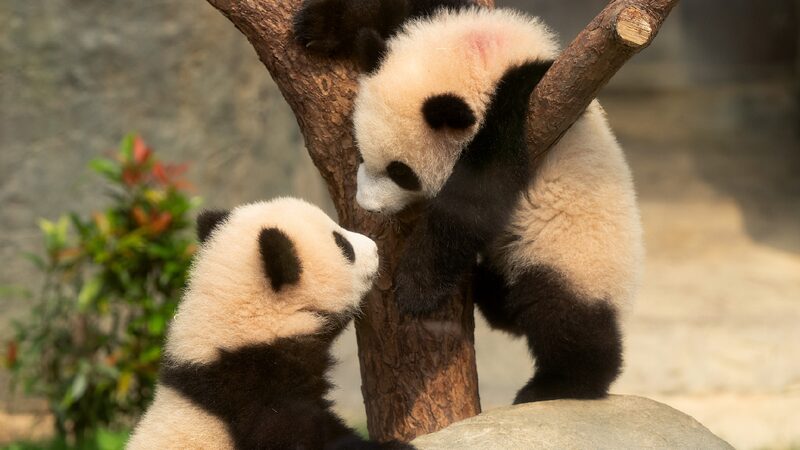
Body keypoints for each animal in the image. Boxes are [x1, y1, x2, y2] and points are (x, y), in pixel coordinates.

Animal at [295, 2, 644, 403]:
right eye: (361, 150)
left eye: (401, 172)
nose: (367, 206)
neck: (486, 55)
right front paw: (317, 26)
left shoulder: (531, 104)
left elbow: (476, 198)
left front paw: (415, 288)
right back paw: (489, 291)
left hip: (575, 257)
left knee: (563, 318)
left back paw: (558, 384)